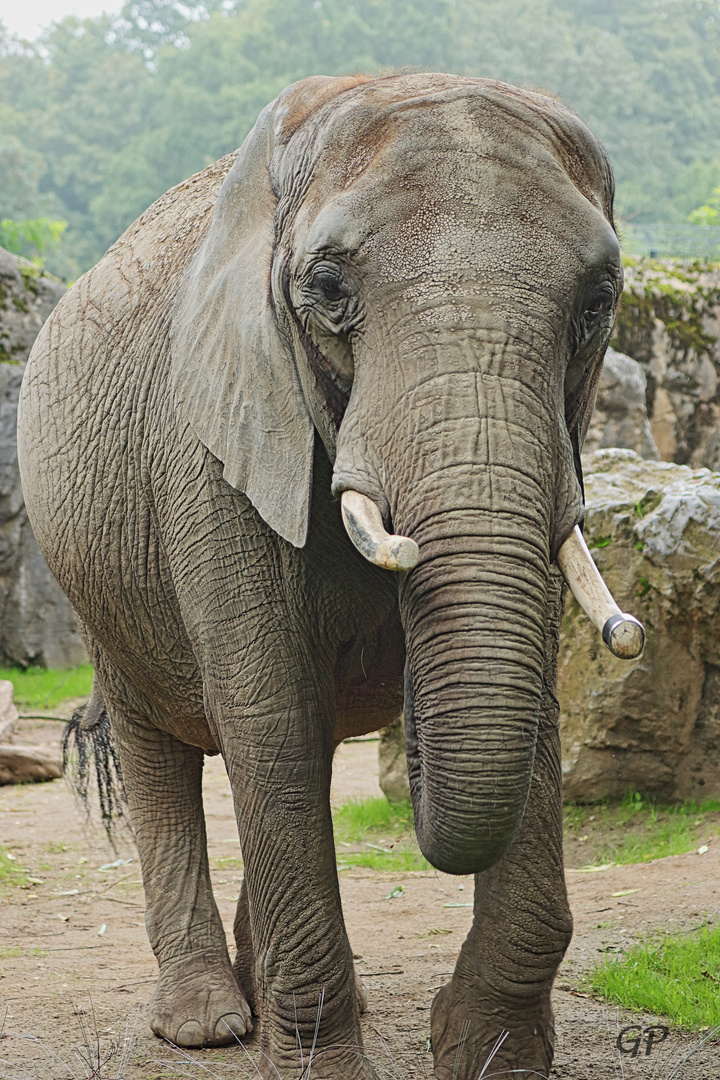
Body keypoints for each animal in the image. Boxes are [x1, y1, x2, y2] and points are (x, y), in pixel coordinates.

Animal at [16, 73, 626, 1080]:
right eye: (329, 290)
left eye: (596, 303)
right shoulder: (210, 446)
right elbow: (270, 718)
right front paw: (323, 1065)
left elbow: (526, 704)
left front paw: (480, 1054)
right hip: (94, 579)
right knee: (164, 747)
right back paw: (208, 1023)